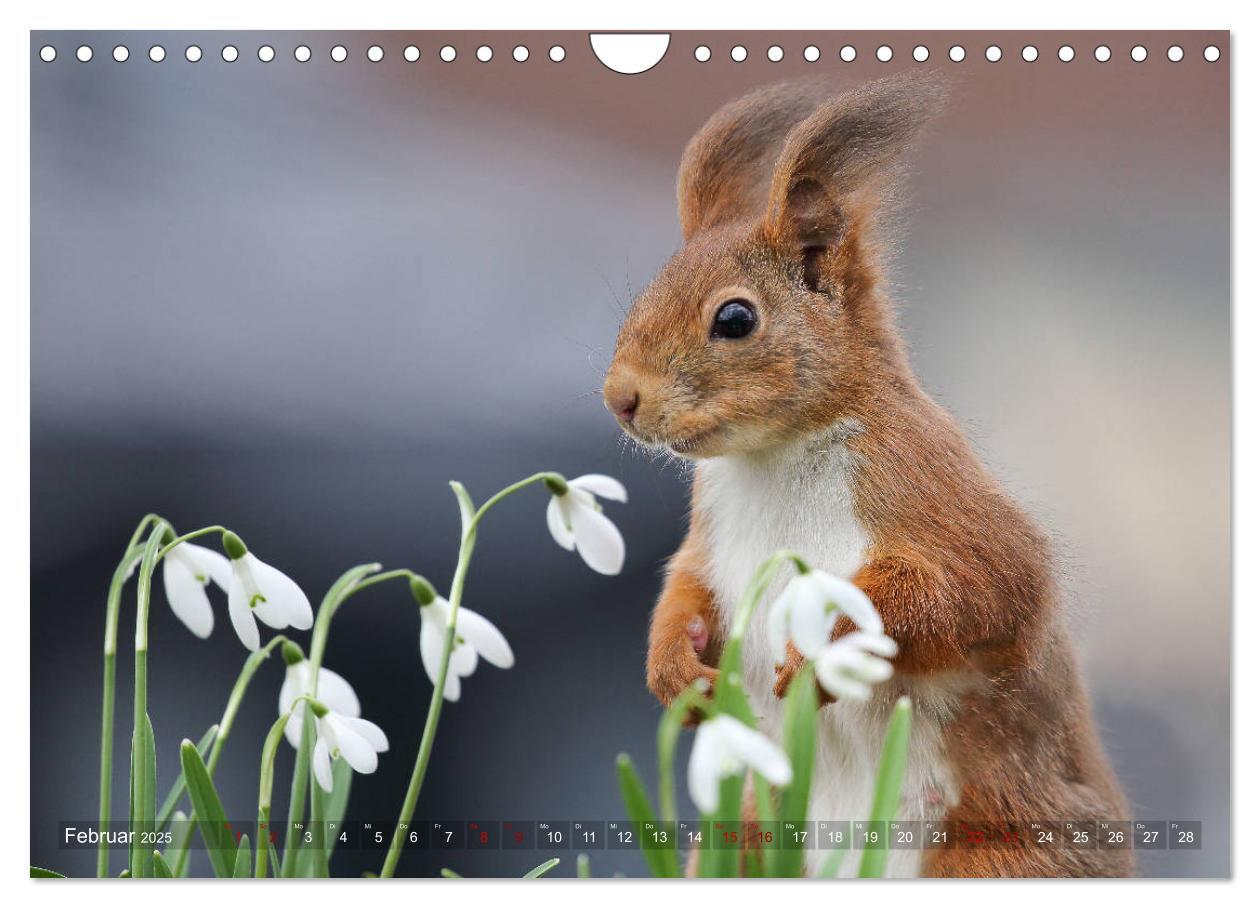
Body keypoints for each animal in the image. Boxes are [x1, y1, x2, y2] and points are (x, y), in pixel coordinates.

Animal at [599, 74, 1134, 876]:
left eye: (735, 319)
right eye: (645, 294)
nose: (620, 398)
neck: (775, 457)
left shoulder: (931, 493)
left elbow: (972, 592)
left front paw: (825, 649)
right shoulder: (710, 537)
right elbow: (685, 588)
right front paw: (673, 671)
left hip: (997, 852)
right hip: (747, 841)